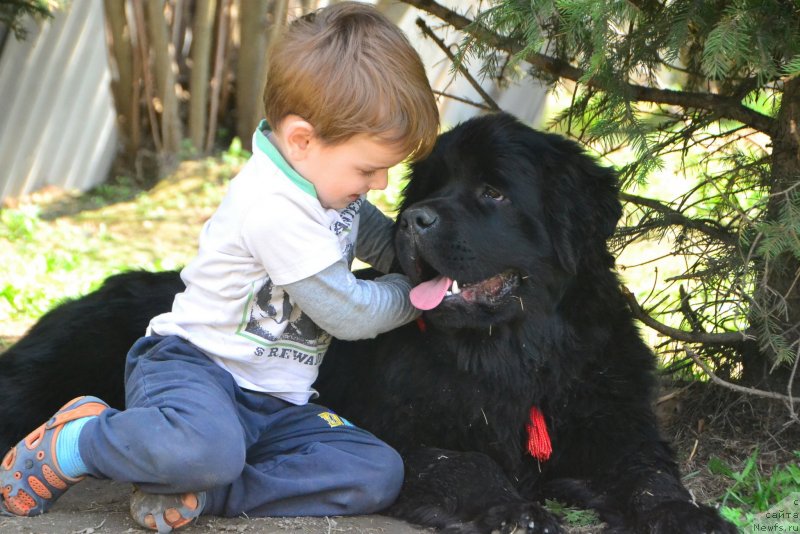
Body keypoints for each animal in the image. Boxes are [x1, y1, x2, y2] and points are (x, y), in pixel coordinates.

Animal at [0, 115, 736, 532]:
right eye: (429, 189)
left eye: (493, 192)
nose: (415, 220)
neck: (516, 359)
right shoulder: (409, 431)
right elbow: (465, 461)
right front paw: (515, 510)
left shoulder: (613, 422)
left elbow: (647, 471)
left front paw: (685, 515)